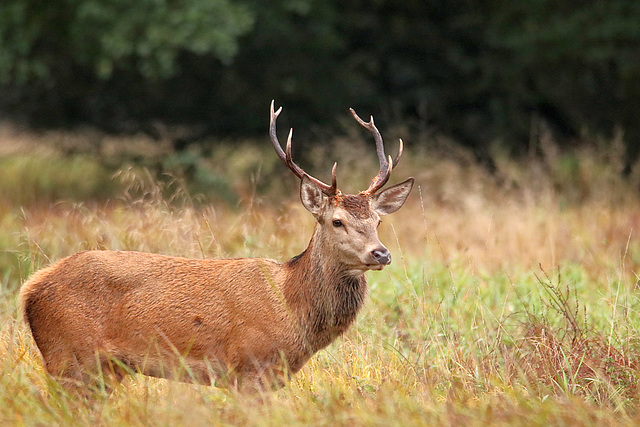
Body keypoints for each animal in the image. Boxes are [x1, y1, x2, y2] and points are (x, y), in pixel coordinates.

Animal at [20, 101, 412, 394]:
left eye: (377, 221)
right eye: (337, 221)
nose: (381, 253)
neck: (292, 308)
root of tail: (30, 289)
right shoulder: (249, 367)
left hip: (101, 370)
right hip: (69, 356)